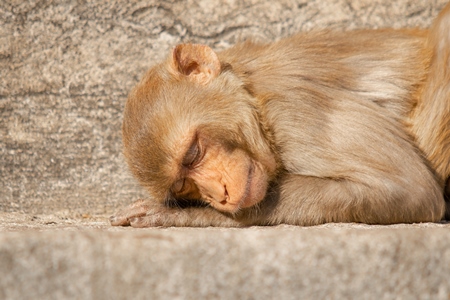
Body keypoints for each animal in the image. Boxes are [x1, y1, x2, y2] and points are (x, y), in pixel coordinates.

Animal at [109, 2, 450, 227]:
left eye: (193, 154)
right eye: (182, 186)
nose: (219, 196)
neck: (256, 97)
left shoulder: (298, 111)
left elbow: (408, 188)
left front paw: (182, 215)